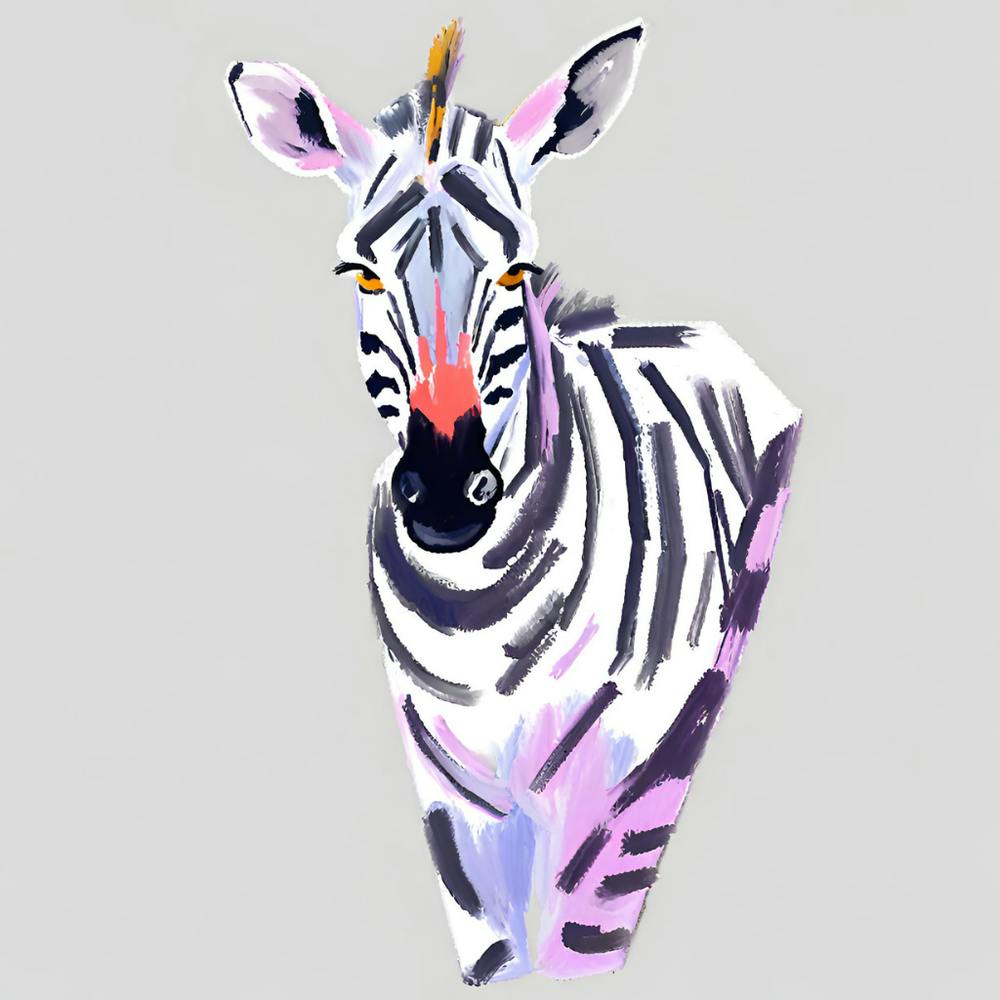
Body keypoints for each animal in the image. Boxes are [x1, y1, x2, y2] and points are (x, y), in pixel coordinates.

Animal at [227, 18, 801, 986]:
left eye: (516, 272)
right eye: (361, 276)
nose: (446, 496)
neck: (477, 623)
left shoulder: (618, 788)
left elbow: (580, 946)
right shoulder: (451, 807)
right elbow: (492, 950)